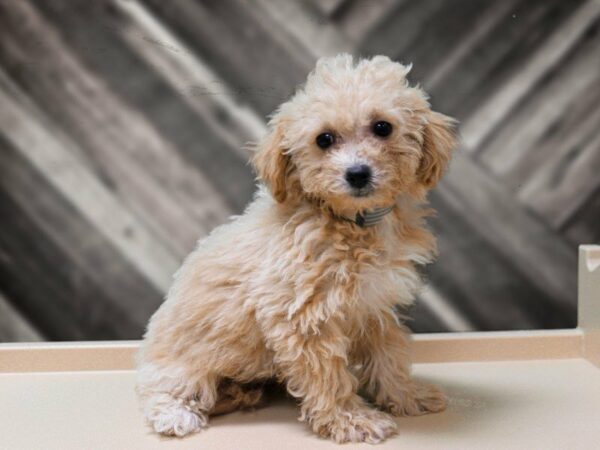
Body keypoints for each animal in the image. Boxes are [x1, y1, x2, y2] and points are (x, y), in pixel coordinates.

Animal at [135, 54, 454, 444]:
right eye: (324, 139)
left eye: (383, 127)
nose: (357, 173)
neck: (351, 223)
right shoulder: (303, 316)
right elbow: (328, 375)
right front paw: (351, 420)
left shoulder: (373, 305)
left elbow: (388, 354)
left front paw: (407, 396)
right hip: (180, 364)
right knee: (162, 389)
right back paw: (177, 414)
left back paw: (242, 392)